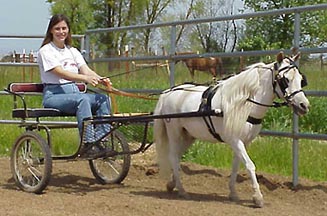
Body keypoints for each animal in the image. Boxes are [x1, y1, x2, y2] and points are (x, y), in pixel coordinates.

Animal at [154, 52, 310, 208]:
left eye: (301, 79)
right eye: (285, 79)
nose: (304, 105)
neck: (243, 103)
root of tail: (168, 92)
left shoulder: (244, 142)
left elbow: (236, 166)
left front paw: (233, 193)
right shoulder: (234, 140)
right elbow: (250, 165)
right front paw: (258, 197)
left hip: (188, 136)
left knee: (177, 156)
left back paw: (172, 184)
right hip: (175, 132)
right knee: (173, 157)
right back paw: (182, 190)